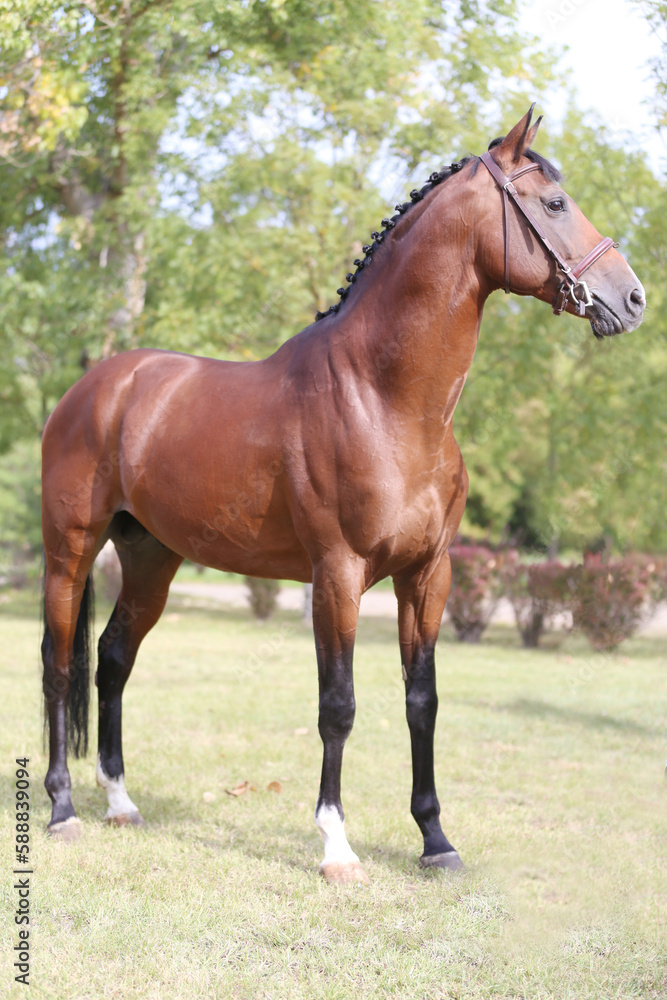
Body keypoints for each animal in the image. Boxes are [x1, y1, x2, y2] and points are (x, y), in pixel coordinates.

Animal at [41, 109, 648, 884]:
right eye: (554, 204)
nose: (631, 298)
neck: (384, 398)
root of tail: (96, 386)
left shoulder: (428, 575)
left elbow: (422, 700)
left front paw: (435, 840)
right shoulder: (337, 575)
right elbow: (339, 704)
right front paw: (335, 845)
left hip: (152, 557)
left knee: (114, 659)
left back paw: (120, 802)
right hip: (71, 551)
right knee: (60, 664)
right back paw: (62, 810)